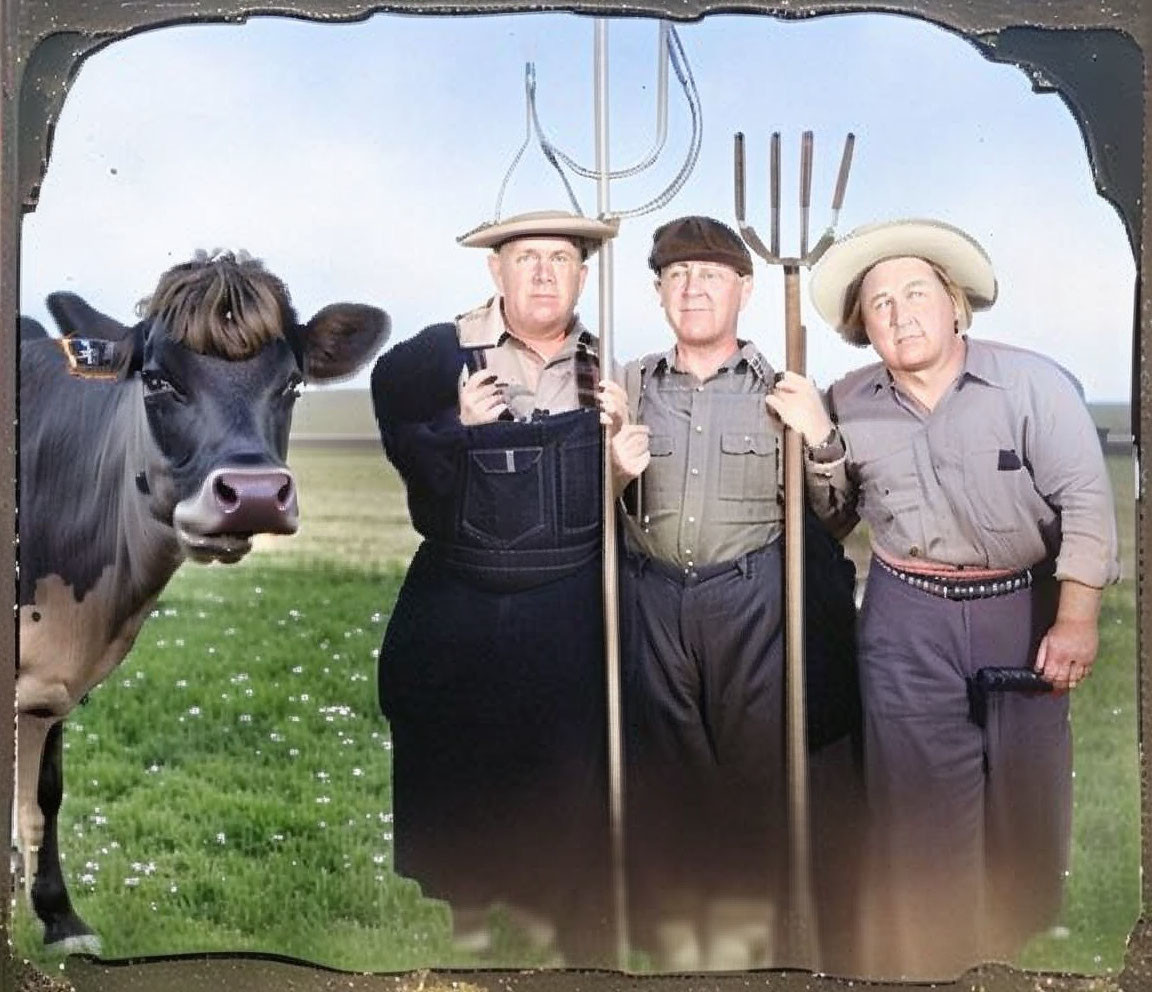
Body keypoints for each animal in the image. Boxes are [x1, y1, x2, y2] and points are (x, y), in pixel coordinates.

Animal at [16, 253, 391, 953]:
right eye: (157, 380)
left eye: (293, 383)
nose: (253, 495)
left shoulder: (55, 684)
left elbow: (45, 791)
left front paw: (60, 919)